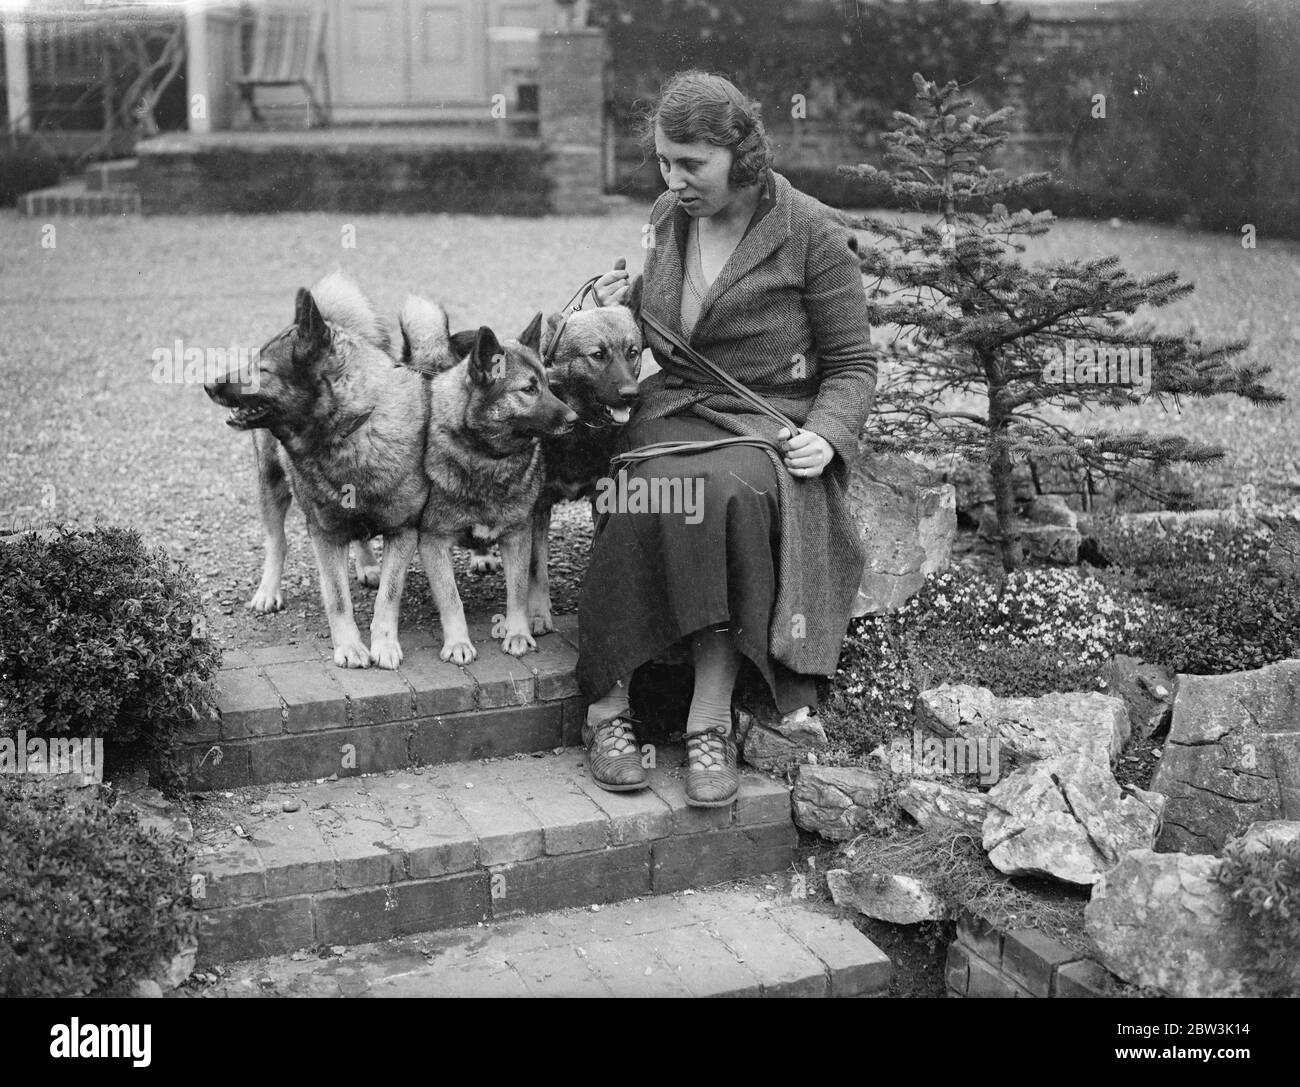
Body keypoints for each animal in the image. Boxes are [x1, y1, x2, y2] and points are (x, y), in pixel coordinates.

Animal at [397, 301, 577, 665]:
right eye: (528, 389)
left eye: (548, 385)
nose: (574, 419)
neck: (487, 458)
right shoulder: (433, 541)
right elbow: (451, 598)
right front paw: (458, 643)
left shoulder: (518, 535)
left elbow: (518, 591)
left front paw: (518, 634)